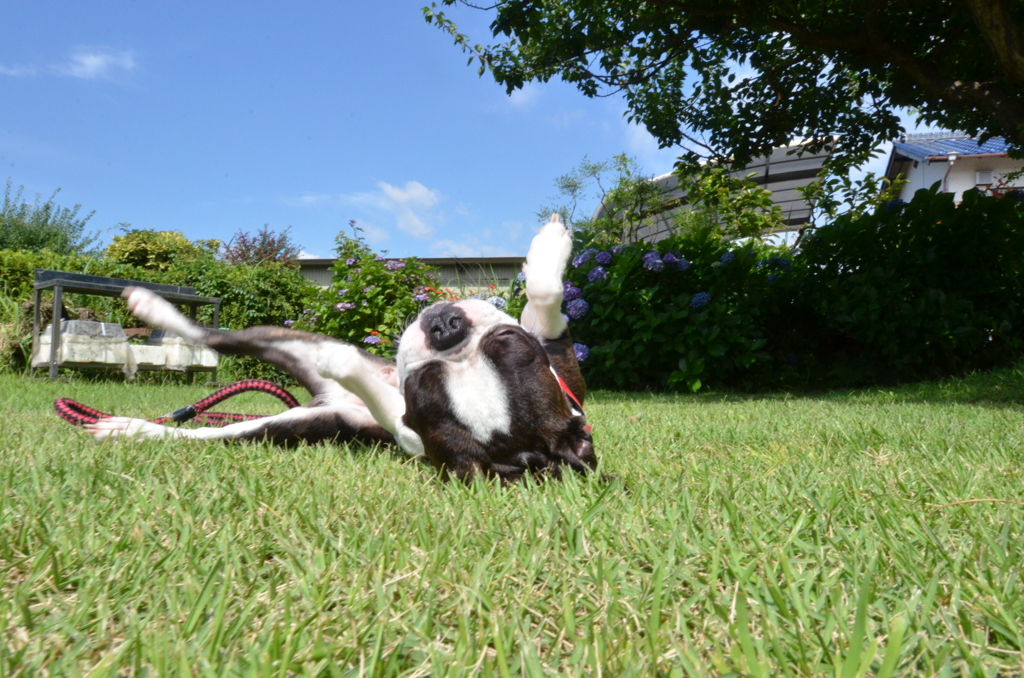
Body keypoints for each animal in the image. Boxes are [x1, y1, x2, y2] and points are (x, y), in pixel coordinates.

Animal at [90, 218, 598, 483]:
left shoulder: (405, 429)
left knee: (197, 430)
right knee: (211, 337)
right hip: (290, 339)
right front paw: (551, 246)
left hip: (281, 426)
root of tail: (326, 399)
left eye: (423, 389)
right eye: (509, 341)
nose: (444, 328)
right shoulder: (559, 358)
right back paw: (151, 308)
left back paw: (132, 429)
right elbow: (547, 301)